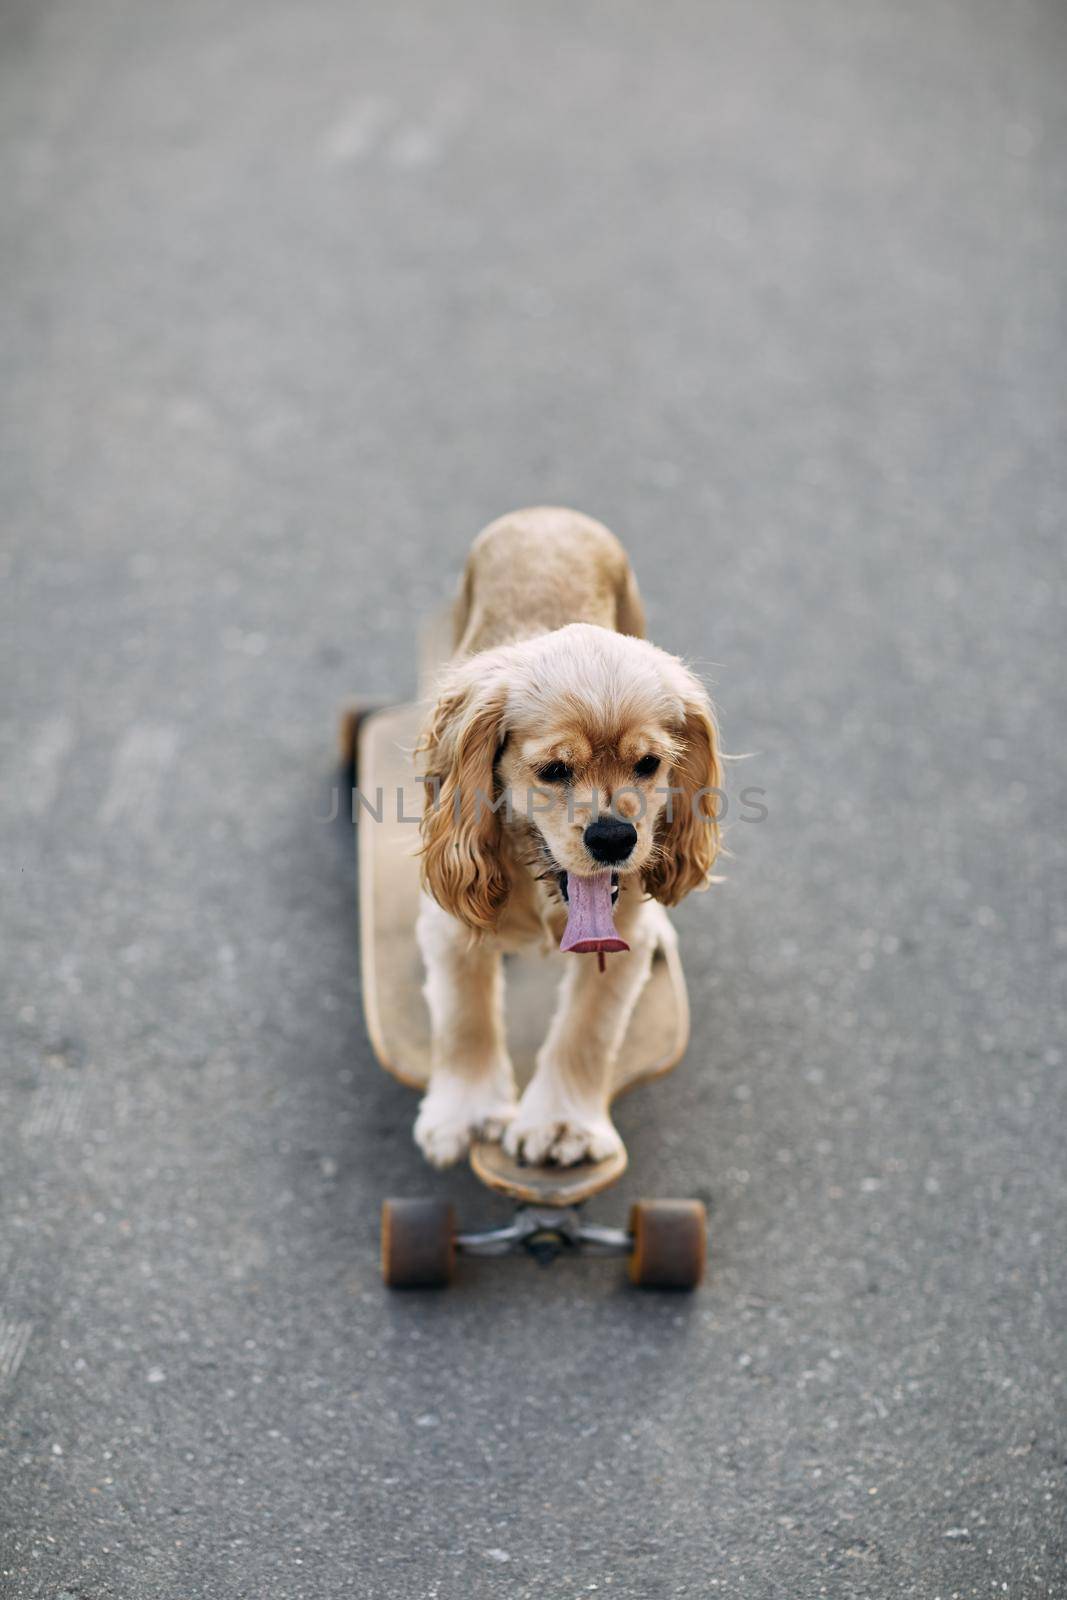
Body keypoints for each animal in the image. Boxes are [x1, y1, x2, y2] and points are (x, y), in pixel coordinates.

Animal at [412, 505, 723, 1171]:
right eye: (554, 770)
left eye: (649, 764)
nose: (614, 838)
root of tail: (548, 513)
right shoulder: (449, 918)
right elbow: (464, 1017)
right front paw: (467, 1114)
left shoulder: (622, 928)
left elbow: (588, 1027)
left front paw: (561, 1127)